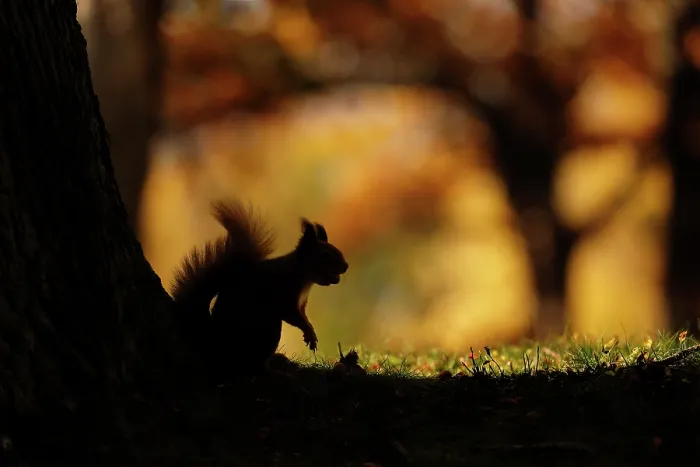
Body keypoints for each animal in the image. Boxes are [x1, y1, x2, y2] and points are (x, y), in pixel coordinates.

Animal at [170, 199, 348, 382]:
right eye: (325, 255)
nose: (345, 266)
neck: (303, 276)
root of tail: (214, 339)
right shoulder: (284, 292)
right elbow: (291, 315)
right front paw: (307, 330)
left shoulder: (301, 302)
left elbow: (303, 315)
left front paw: (310, 334)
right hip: (266, 328)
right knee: (253, 366)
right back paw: (274, 372)